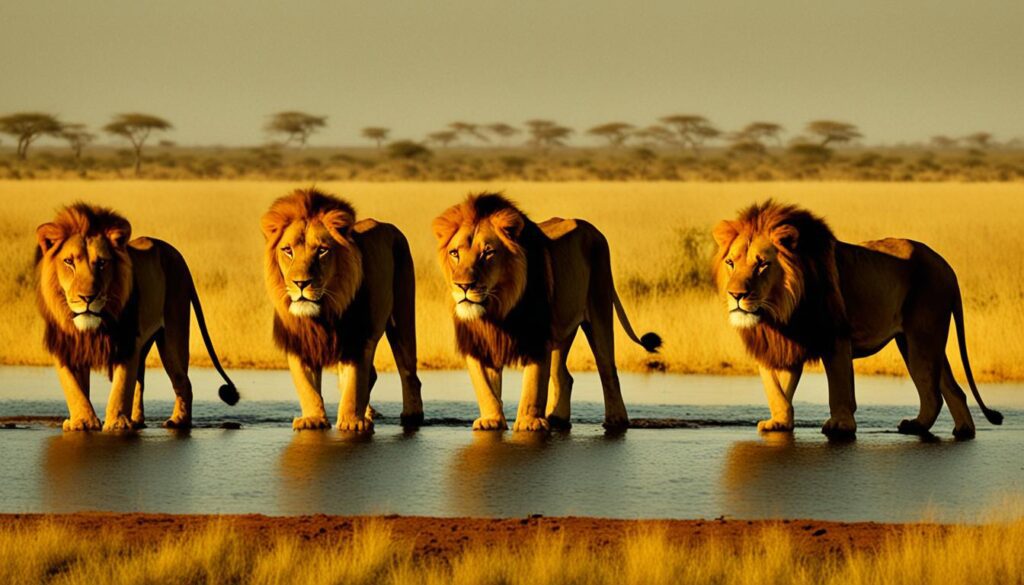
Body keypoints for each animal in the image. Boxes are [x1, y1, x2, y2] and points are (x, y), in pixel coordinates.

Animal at [36, 203, 239, 432]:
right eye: (69, 262)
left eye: (102, 263)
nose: (88, 297)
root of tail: (179, 257)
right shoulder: (65, 345)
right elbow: (73, 387)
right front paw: (82, 422)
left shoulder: (126, 343)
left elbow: (121, 386)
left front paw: (116, 424)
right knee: (140, 382)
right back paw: (136, 421)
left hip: (173, 335)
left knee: (182, 381)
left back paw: (178, 421)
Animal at [261, 188, 423, 432]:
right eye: (287, 250)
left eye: (322, 251)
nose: (301, 283)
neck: (322, 313)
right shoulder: (300, 340)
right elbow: (306, 386)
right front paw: (313, 419)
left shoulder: (357, 340)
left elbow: (354, 383)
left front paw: (351, 422)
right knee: (370, 376)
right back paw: (368, 413)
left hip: (402, 318)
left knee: (408, 372)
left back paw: (412, 416)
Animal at [432, 193, 661, 431]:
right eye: (454, 253)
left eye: (488, 252)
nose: (463, 286)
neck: (496, 310)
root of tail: (594, 231)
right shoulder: (478, 340)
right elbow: (484, 386)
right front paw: (491, 420)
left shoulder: (537, 335)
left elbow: (533, 383)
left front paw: (528, 423)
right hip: (562, 330)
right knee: (563, 376)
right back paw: (557, 418)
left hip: (600, 307)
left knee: (608, 369)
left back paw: (616, 420)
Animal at [712, 200, 1003, 439]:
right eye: (730, 263)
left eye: (762, 264)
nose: (736, 295)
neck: (779, 310)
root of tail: (946, 266)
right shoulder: (781, 345)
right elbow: (777, 390)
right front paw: (779, 423)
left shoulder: (836, 337)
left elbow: (840, 387)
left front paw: (840, 426)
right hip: (916, 342)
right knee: (952, 389)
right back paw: (958, 430)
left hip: (922, 336)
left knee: (933, 392)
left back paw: (921, 427)